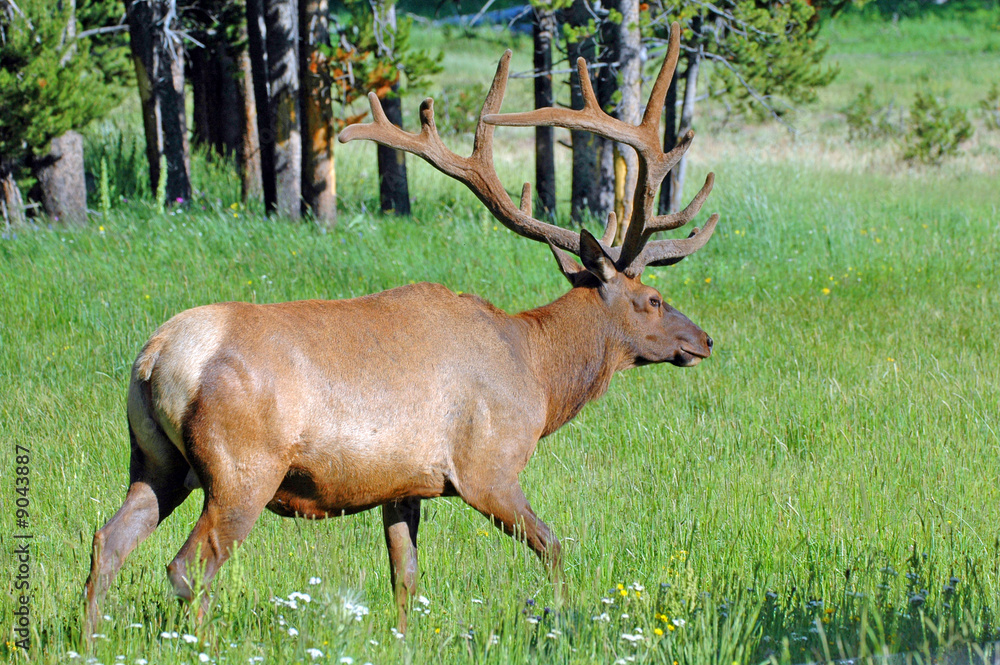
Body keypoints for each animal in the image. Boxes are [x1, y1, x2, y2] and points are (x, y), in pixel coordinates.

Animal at [83, 22, 718, 636]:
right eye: (654, 299)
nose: (705, 340)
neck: (540, 374)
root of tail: (155, 357)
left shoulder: (405, 484)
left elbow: (404, 578)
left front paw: (404, 637)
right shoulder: (487, 467)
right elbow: (552, 546)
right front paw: (566, 618)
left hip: (156, 462)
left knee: (106, 541)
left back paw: (91, 637)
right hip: (241, 470)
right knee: (188, 566)